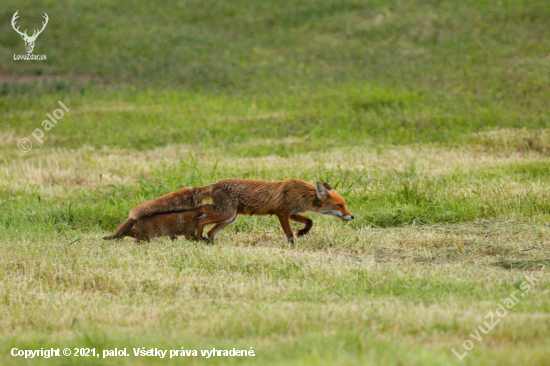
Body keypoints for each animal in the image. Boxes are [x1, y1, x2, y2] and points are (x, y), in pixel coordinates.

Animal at [103, 179, 354, 243]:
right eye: (340, 205)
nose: (352, 216)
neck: (302, 194)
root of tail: (216, 183)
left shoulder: (292, 212)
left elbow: (309, 221)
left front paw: (304, 232)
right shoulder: (282, 213)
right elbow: (289, 233)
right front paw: (293, 242)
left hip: (229, 217)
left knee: (208, 225)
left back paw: (208, 242)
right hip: (225, 214)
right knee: (201, 219)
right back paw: (198, 239)